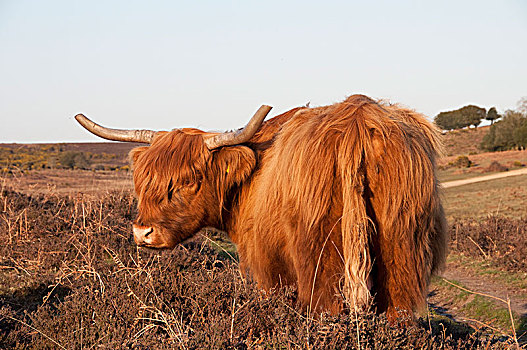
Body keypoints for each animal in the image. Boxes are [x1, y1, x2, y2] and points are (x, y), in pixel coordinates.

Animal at [76, 94, 448, 318]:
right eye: (146, 178)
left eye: (189, 180)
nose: (143, 232)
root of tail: (358, 118)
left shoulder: (267, 268)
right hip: (402, 254)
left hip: (322, 262)